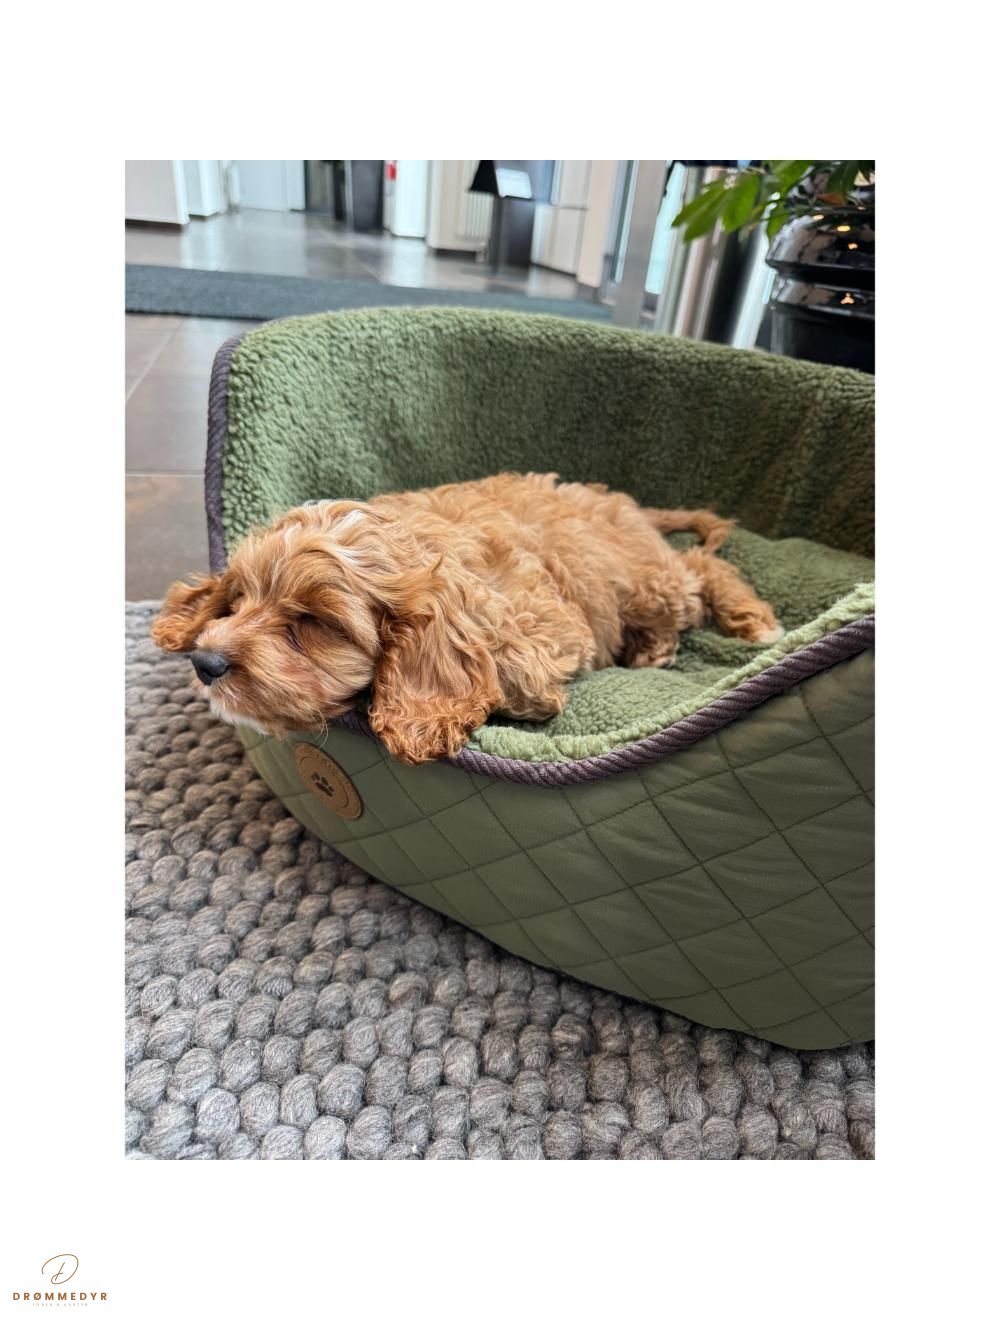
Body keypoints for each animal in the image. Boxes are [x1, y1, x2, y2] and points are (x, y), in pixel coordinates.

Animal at [151, 472, 782, 764]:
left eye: (312, 622)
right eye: (237, 599)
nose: (206, 662)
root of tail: (630, 506)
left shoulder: (541, 646)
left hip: (647, 583)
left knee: (702, 566)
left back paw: (749, 619)